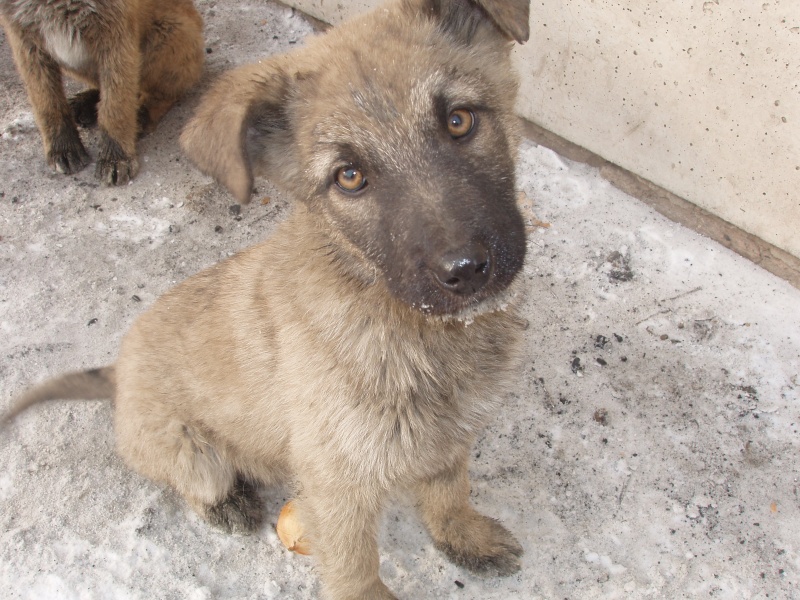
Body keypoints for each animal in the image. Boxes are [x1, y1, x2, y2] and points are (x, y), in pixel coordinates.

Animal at [0, 0, 205, 185]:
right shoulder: (22, 36)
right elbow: (46, 101)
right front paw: (63, 146)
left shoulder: (115, 32)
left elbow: (116, 104)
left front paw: (115, 157)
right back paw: (86, 102)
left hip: (166, 36)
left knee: (165, 91)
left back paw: (141, 115)